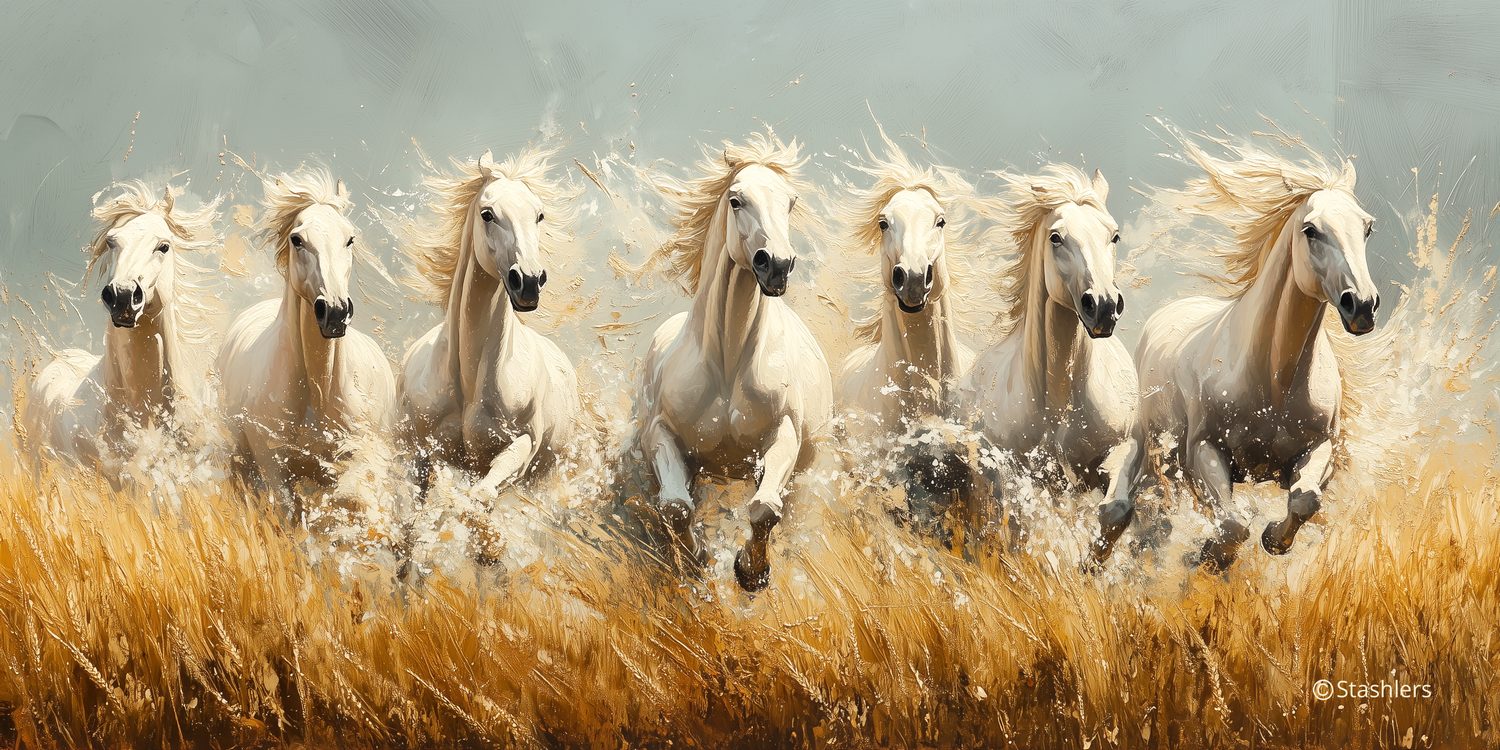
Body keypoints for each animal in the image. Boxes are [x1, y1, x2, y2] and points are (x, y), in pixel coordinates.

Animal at [217, 170, 396, 521]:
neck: (319, 389)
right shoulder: (274, 470)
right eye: (297, 239)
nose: (335, 312)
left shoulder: (349, 467)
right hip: (241, 460)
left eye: (350, 239)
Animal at [398, 147, 581, 499]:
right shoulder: (431, 453)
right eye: (487, 214)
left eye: (539, 215)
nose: (529, 282)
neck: (469, 382)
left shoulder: (520, 449)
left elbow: (482, 495)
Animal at [635, 131, 833, 592]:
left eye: (790, 202)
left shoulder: (783, 435)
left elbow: (765, 509)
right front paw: (696, 560)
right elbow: (676, 507)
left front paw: (751, 570)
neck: (727, 365)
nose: (776, 265)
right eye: (736, 200)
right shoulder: (661, 434)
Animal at [955, 165, 1140, 563]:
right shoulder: (1016, 474)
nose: (1104, 306)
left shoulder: (1122, 448)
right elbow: (1022, 529)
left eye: (1114, 235)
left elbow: (1117, 509)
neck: (1059, 397)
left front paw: (1089, 565)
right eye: (1056, 238)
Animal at [1127, 132, 1379, 571]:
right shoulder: (1204, 452)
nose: (1362, 305)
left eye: (1367, 228)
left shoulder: (1320, 450)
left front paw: (1274, 538)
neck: (1273, 380)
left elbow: (1305, 499)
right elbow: (1232, 523)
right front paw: (1209, 555)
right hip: (1161, 461)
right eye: (1311, 230)